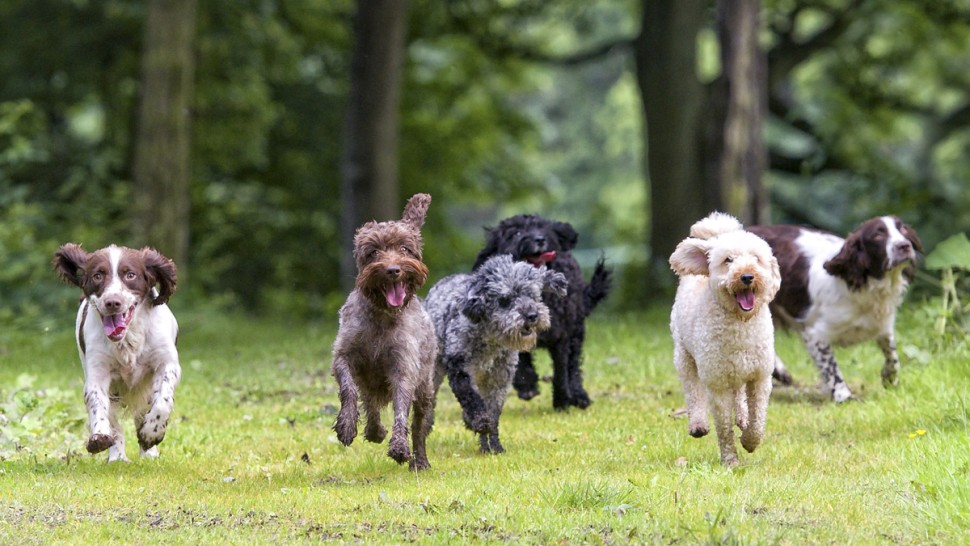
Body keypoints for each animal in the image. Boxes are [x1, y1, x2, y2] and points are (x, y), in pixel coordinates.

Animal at [332, 193, 438, 470]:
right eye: (374, 252)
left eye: (404, 249)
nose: (392, 270)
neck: (382, 315)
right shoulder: (344, 355)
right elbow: (348, 389)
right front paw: (346, 426)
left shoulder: (404, 366)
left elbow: (401, 407)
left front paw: (400, 447)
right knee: (370, 402)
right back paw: (374, 431)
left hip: (425, 388)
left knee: (419, 425)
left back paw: (420, 461)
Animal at [426, 253, 568, 452]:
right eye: (505, 299)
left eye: (532, 295)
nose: (532, 316)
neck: (490, 340)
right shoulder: (460, 368)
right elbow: (471, 398)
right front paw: (480, 421)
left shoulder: (499, 379)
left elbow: (493, 412)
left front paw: (493, 446)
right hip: (434, 369)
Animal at [470, 212, 612, 408]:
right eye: (516, 232)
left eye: (542, 228)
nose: (539, 239)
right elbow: (522, 362)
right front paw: (527, 386)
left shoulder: (561, 336)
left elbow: (561, 369)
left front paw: (562, 400)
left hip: (576, 332)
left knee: (573, 366)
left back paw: (579, 395)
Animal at [668, 210, 784, 466]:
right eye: (728, 260)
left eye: (756, 258)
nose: (747, 276)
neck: (740, 322)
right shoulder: (717, 381)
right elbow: (723, 426)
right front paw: (730, 460)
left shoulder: (760, 377)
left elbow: (758, 419)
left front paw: (750, 441)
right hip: (684, 356)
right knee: (693, 389)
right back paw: (699, 424)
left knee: (739, 395)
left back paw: (742, 417)